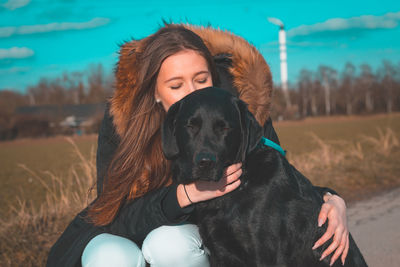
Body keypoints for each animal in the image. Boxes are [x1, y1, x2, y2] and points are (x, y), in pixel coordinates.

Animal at [161, 88, 368, 267]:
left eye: (224, 128)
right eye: (190, 125)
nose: (205, 162)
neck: (240, 185)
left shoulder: (264, 254)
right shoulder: (219, 254)